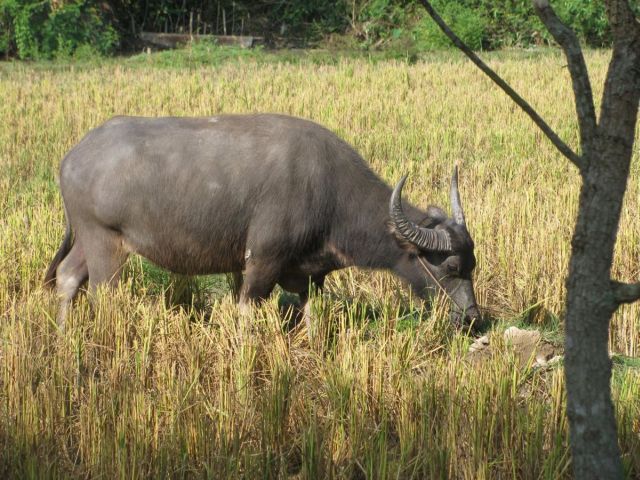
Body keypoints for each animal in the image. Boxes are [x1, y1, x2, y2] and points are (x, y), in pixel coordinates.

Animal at [43, 115, 480, 328]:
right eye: (451, 266)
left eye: (473, 266)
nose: (472, 317)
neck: (327, 192)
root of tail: (71, 158)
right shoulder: (262, 261)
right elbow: (246, 312)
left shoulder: (309, 273)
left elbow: (311, 314)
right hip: (105, 241)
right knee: (103, 296)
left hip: (86, 238)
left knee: (67, 276)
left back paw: (64, 337)